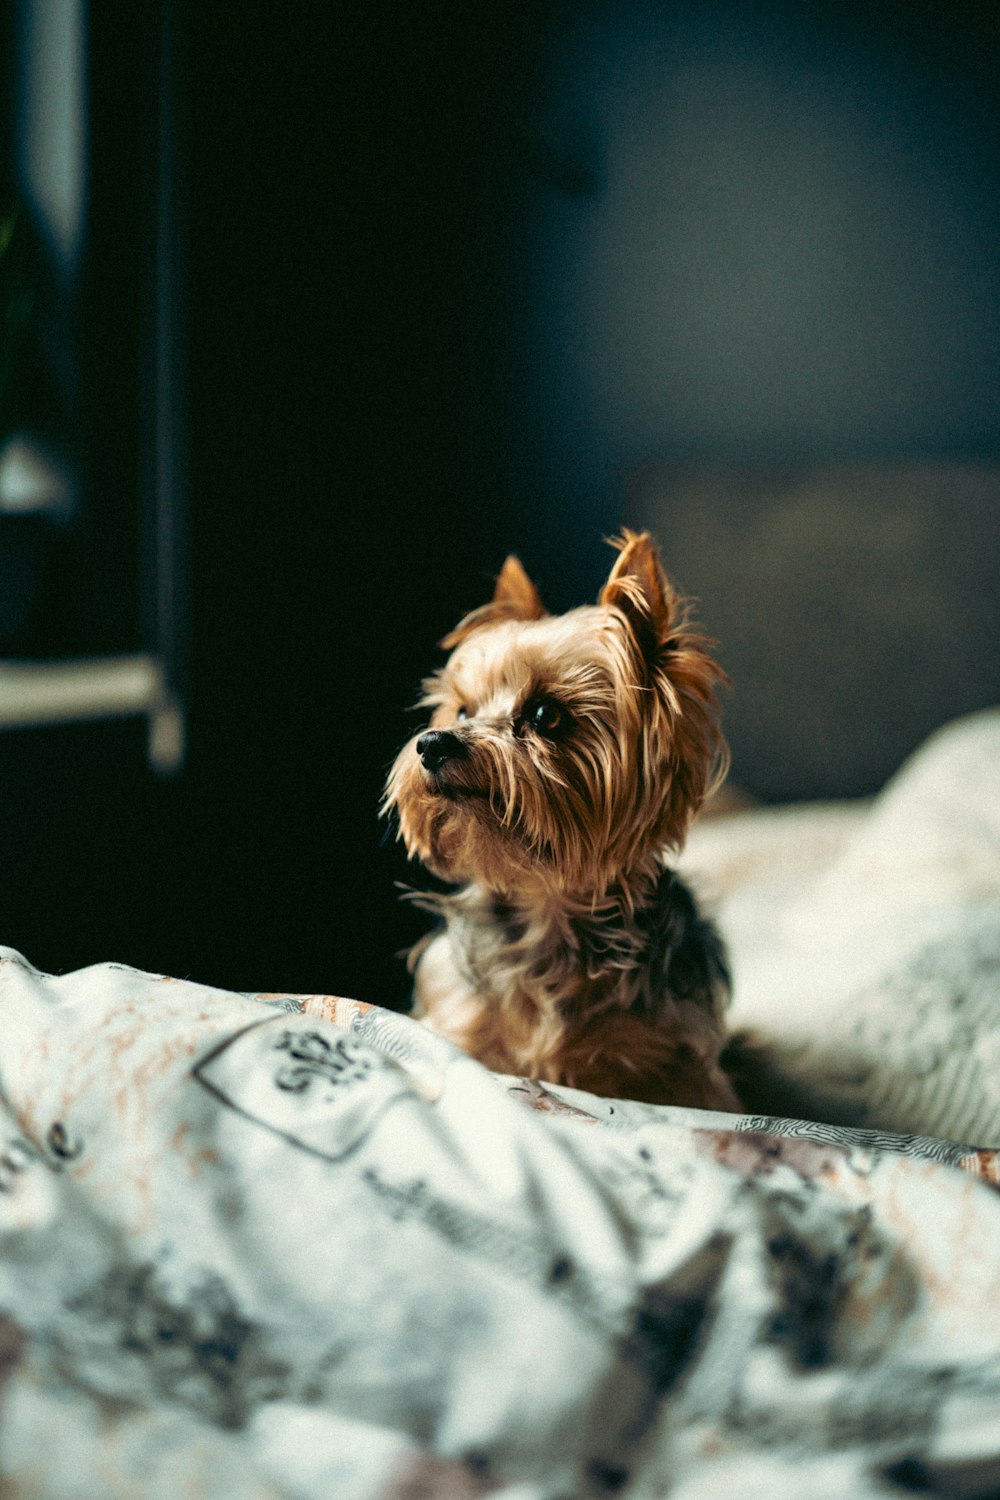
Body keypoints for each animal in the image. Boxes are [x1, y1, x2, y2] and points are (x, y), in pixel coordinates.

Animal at [386, 534, 740, 1110]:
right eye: (461, 712)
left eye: (545, 715)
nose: (432, 744)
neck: (546, 909)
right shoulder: (460, 1026)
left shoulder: (678, 1065)